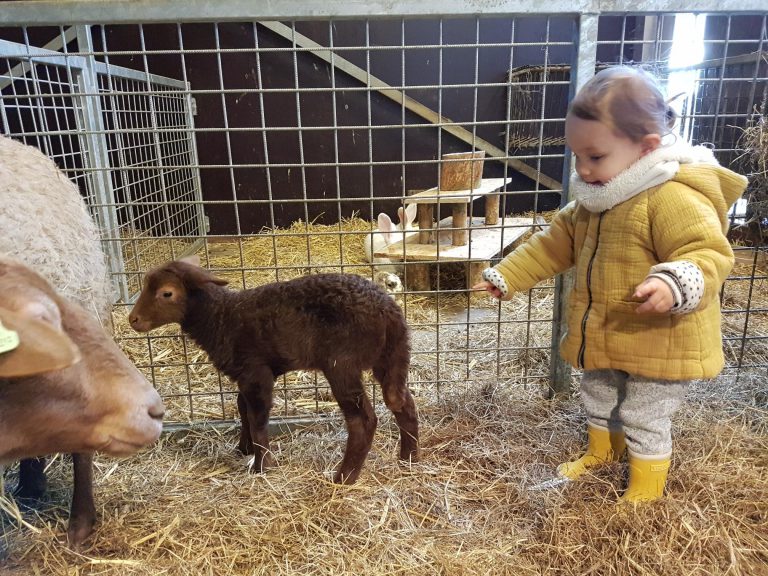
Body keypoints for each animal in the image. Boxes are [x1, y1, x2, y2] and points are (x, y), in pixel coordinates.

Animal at [132, 254, 420, 484]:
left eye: (166, 293)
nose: (132, 319)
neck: (222, 318)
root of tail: (388, 311)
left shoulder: (256, 372)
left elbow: (258, 419)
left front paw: (261, 465)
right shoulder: (248, 373)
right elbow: (243, 409)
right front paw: (244, 448)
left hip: (342, 363)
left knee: (363, 420)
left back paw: (344, 477)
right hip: (392, 355)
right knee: (401, 401)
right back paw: (408, 459)